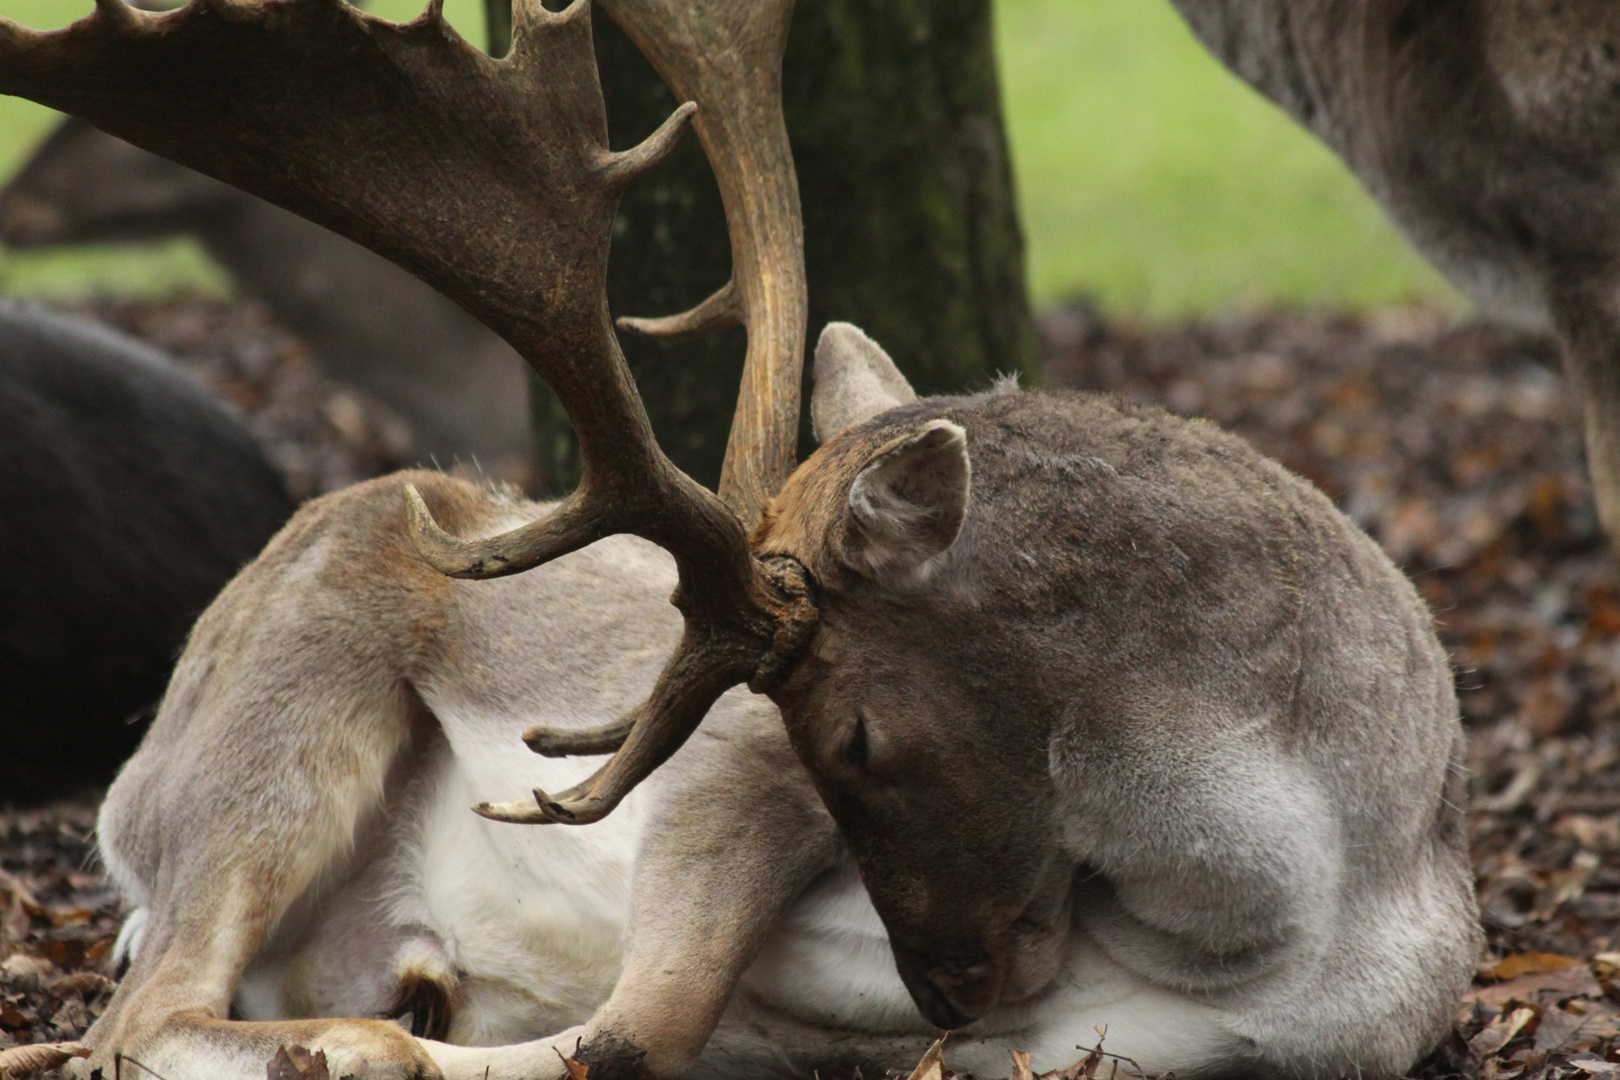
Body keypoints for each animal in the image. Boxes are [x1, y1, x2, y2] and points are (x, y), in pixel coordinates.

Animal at [0, 0, 1483, 1075]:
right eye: (836, 745)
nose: (951, 991)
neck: (1292, 912)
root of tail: (125, 809)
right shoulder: (728, 782)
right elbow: (634, 1034)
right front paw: (375, 1057)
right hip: (274, 716)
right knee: (135, 1020)